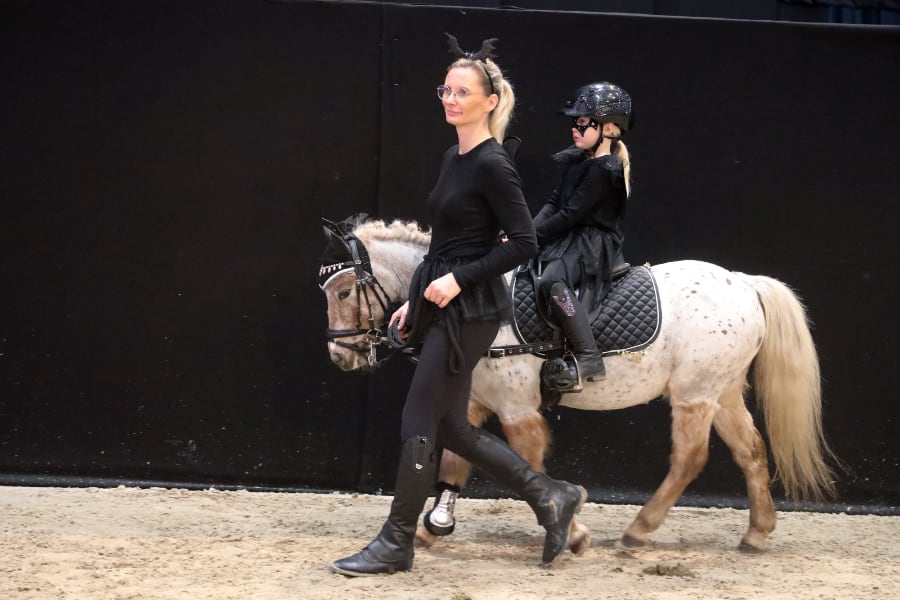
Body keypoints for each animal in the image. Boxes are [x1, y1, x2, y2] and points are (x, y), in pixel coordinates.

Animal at [318, 216, 836, 555]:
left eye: (343, 291)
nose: (339, 356)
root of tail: (743, 283)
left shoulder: (517, 409)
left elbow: (526, 461)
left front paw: (573, 531)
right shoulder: (472, 405)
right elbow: (454, 459)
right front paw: (431, 529)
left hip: (695, 396)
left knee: (690, 459)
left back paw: (639, 530)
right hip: (722, 394)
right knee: (752, 452)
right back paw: (756, 533)